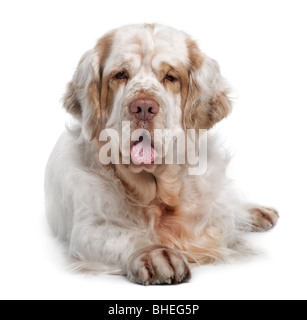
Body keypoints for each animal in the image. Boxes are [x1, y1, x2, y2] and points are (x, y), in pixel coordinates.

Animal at [45, 24, 280, 284]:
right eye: (120, 75)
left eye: (170, 77)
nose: (144, 107)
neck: (155, 194)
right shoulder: (89, 228)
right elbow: (126, 235)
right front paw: (155, 254)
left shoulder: (209, 220)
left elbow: (219, 223)